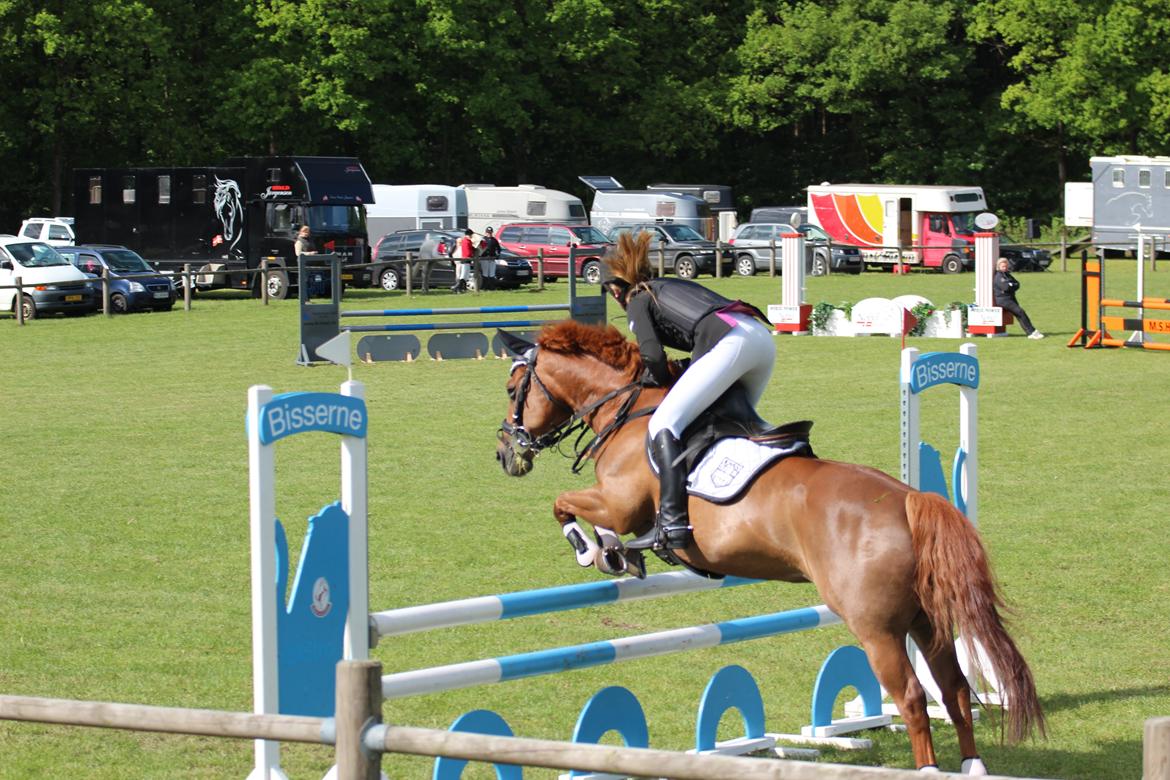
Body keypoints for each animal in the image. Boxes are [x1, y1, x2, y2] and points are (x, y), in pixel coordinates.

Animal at [498, 320, 1048, 771]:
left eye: (510, 389)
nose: (506, 453)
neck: (627, 411)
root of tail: (908, 499)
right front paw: (617, 552)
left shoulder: (619, 504)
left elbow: (564, 505)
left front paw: (595, 550)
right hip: (926, 618)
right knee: (953, 687)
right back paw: (972, 764)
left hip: (876, 627)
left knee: (913, 696)